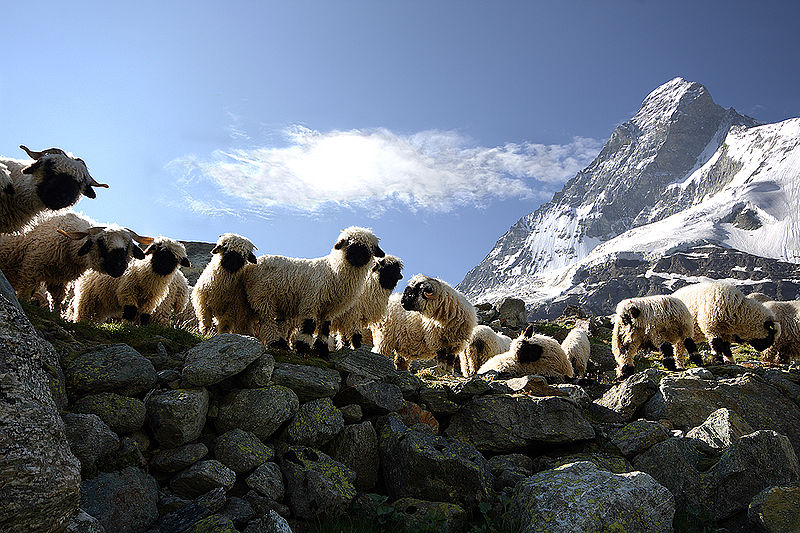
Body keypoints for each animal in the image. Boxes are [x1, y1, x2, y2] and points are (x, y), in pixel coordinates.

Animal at [0, 211, 152, 315]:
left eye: (128, 246)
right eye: (101, 242)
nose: (118, 267)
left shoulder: (58, 279)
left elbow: (57, 299)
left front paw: (56, 314)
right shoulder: (32, 266)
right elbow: (26, 293)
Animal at [244, 226, 384, 355]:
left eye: (369, 248)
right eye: (349, 243)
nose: (359, 257)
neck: (333, 271)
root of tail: (255, 263)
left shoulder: (330, 310)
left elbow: (325, 328)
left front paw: (321, 349)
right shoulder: (311, 301)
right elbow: (309, 325)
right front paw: (303, 346)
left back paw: (282, 343)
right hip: (263, 296)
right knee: (268, 321)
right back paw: (276, 341)